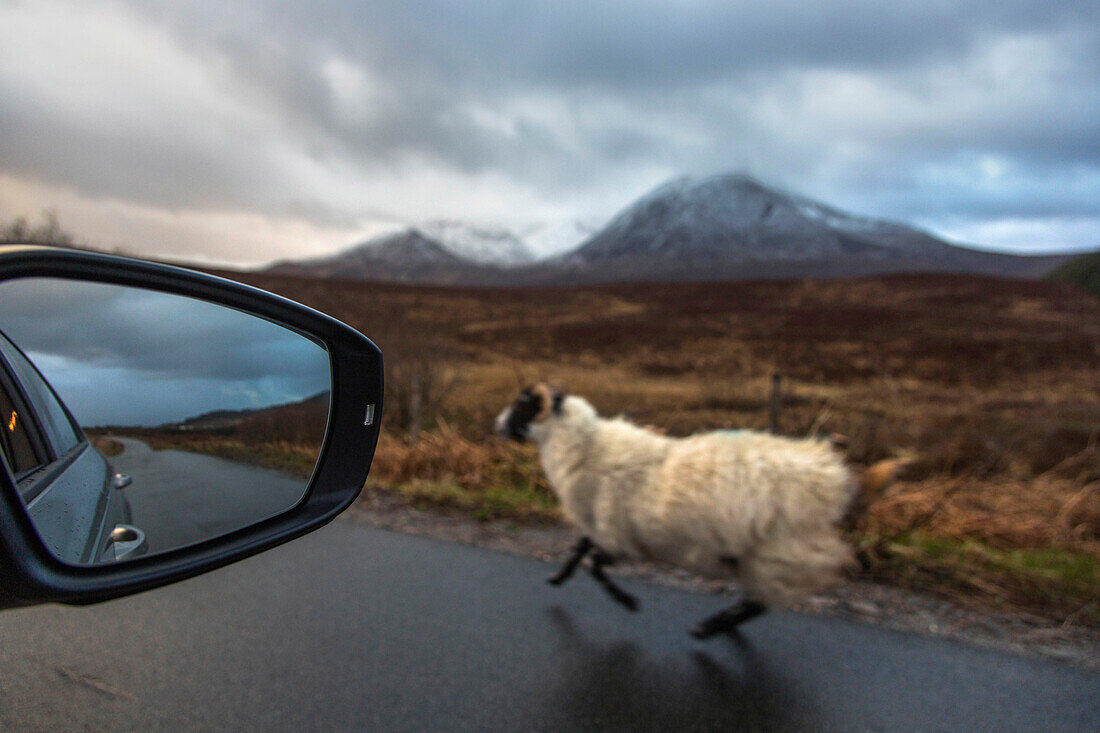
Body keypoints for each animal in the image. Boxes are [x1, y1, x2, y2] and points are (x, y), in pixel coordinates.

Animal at [499, 383, 902, 633]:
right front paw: (557, 577)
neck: (586, 448)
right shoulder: (604, 528)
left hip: (778, 555)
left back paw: (710, 627)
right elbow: (579, 550)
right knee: (760, 601)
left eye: (522, 404)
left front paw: (627, 601)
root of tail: (836, 480)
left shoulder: (619, 537)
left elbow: (594, 566)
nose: (496, 423)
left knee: (760, 603)